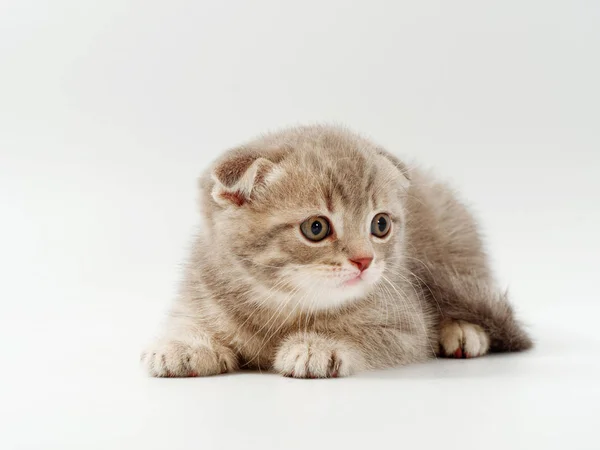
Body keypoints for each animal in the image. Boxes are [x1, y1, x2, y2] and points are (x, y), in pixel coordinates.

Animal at [139, 125, 528, 378]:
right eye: (316, 228)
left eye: (380, 225)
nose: (364, 260)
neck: (283, 305)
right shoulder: (201, 287)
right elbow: (188, 320)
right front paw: (185, 345)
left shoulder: (408, 327)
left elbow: (367, 335)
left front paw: (320, 346)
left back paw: (463, 331)